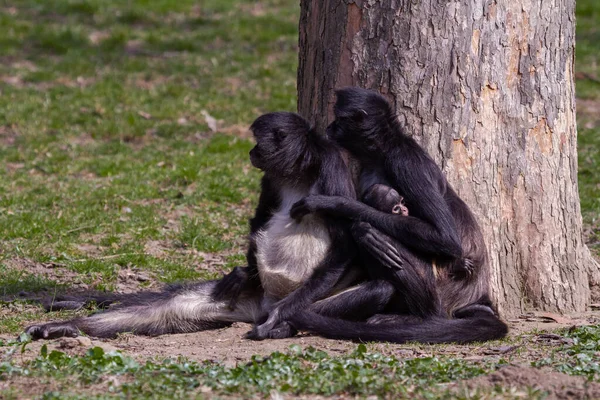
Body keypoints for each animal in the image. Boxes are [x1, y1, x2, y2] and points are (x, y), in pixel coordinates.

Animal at [288, 87, 508, 344]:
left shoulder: (405, 161)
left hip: (441, 290)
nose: (330, 127)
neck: (384, 152)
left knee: (380, 239)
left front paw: (337, 204)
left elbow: (446, 239)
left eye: (339, 119)